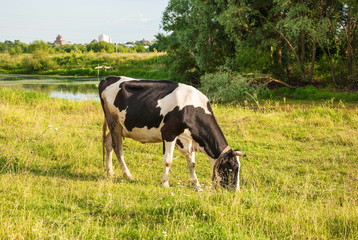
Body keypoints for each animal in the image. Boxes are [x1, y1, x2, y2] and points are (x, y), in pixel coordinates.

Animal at [97, 76, 246, 190]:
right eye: (232, 168)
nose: (235, 191)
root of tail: (108, 78)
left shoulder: (187, 139)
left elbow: (191, 163)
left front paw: (197, 185)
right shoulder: (169, 133)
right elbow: (168, 161)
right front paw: (165, 183)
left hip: (120, 127)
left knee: (108, 143)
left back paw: (110, 172)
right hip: (113, 121)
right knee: (118, 147)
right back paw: (128, 175)